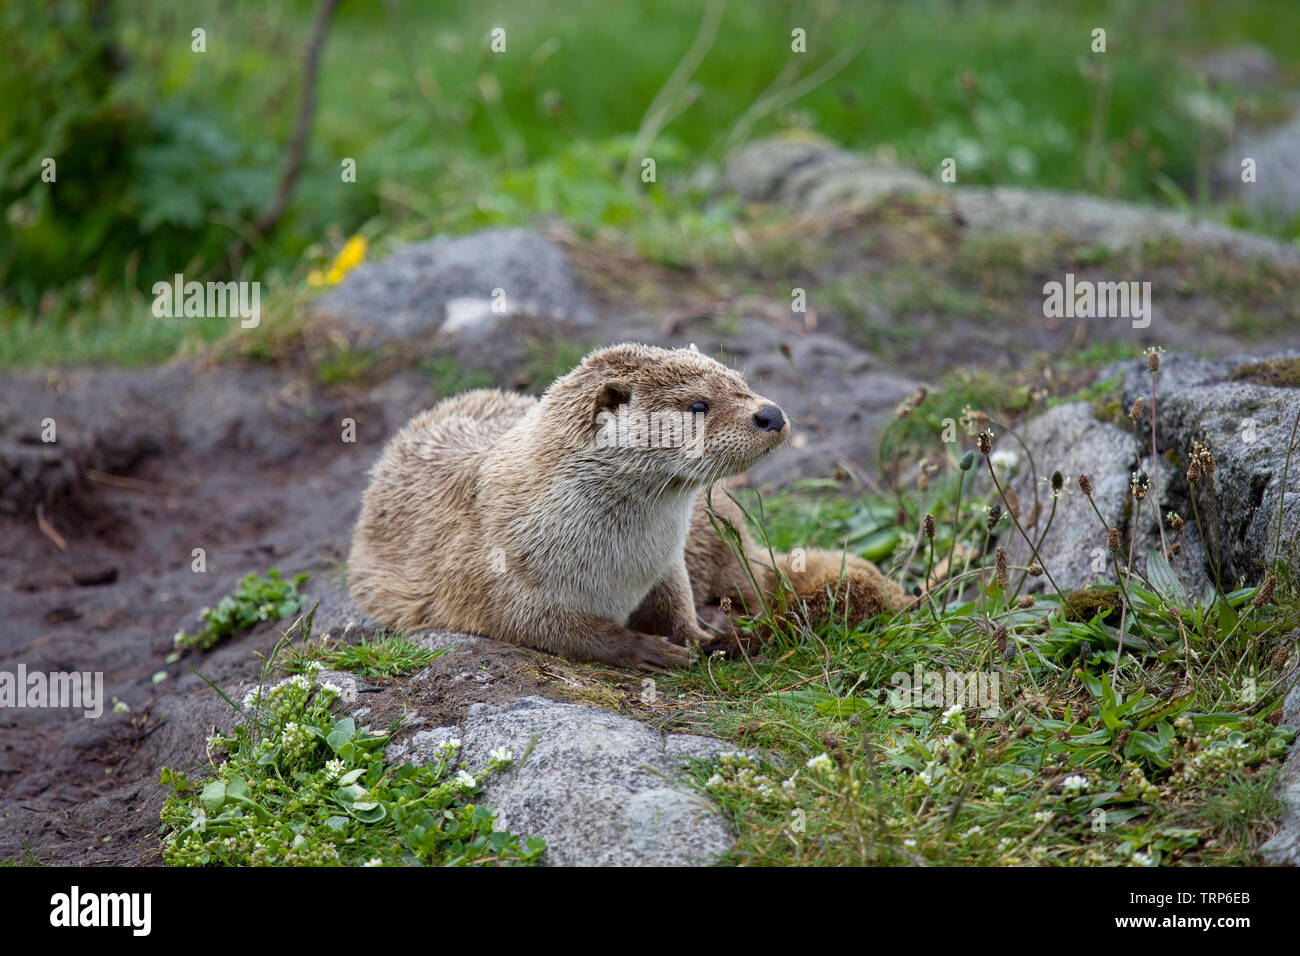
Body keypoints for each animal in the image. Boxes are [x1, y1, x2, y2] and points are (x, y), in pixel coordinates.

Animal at [351, 345, 909, 671]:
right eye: (698, 406)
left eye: (741, 383)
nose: (769, 412)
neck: (619, 562)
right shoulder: (492, 575)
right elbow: (554, 630)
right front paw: (647, 651)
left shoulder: (667, 564)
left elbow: (678, 604)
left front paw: (707, 639)